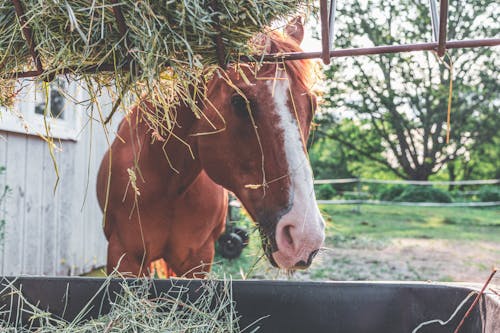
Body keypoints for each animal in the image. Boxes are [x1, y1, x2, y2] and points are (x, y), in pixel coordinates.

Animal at [95, 18, 326, 278]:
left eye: (312, 105)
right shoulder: (125, 259)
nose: (304, 237)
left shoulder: (198, 260)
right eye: (239, 102)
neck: (170, 186)